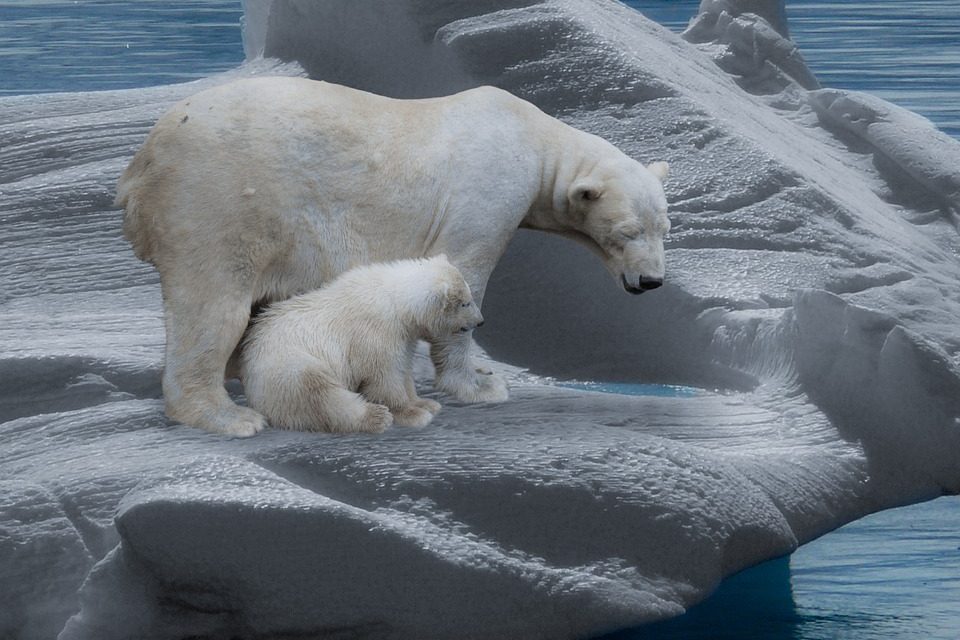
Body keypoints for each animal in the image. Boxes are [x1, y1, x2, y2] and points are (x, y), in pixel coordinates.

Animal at [240, 255, 480, 436]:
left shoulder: (403, 336)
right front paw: (413, 414)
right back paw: (376, 417)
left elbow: (403, 369)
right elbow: (384, 378)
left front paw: (426, 403)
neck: (394, 301)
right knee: (320, 395)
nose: (481, 321)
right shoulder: (375, 334)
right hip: (289, 365)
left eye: (469, 297)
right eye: (465, 303)